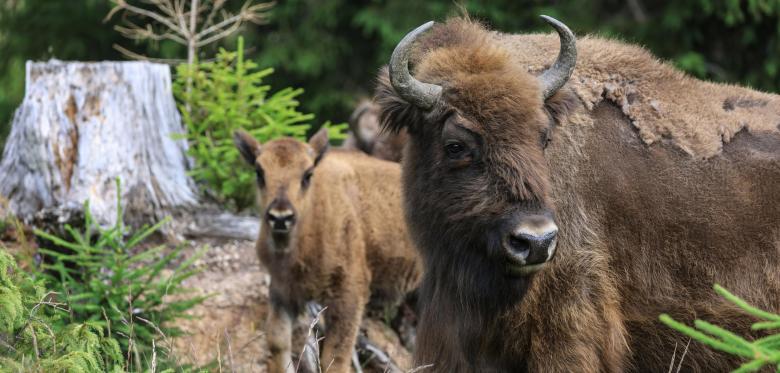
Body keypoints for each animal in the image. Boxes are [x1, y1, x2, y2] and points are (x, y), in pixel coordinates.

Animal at [235, 126, 424, 370]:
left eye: (307, 174)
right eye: (259, 172)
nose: (280, 217)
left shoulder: (349, 296)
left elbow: (335, 357)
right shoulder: (283, 291)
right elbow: (278, 341)